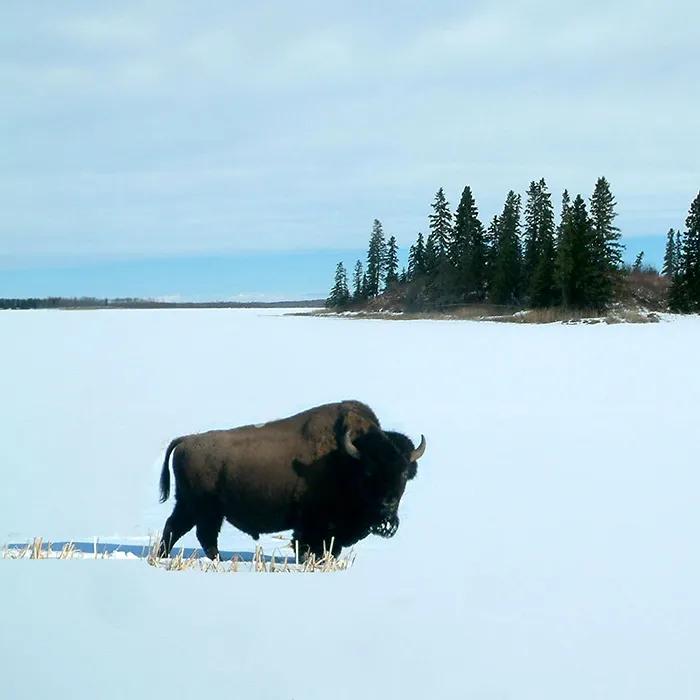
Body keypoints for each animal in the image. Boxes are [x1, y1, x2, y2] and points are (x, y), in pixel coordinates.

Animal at [157, 400, 426, 560]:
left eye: (404, 473)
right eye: (369, 472)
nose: (388, 504)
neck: (346, 459)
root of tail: (185, 441)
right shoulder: (312, 526)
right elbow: (307, 546)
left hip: (198, 508)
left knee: (184, 530)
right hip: (201, 507)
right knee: (193, 532)